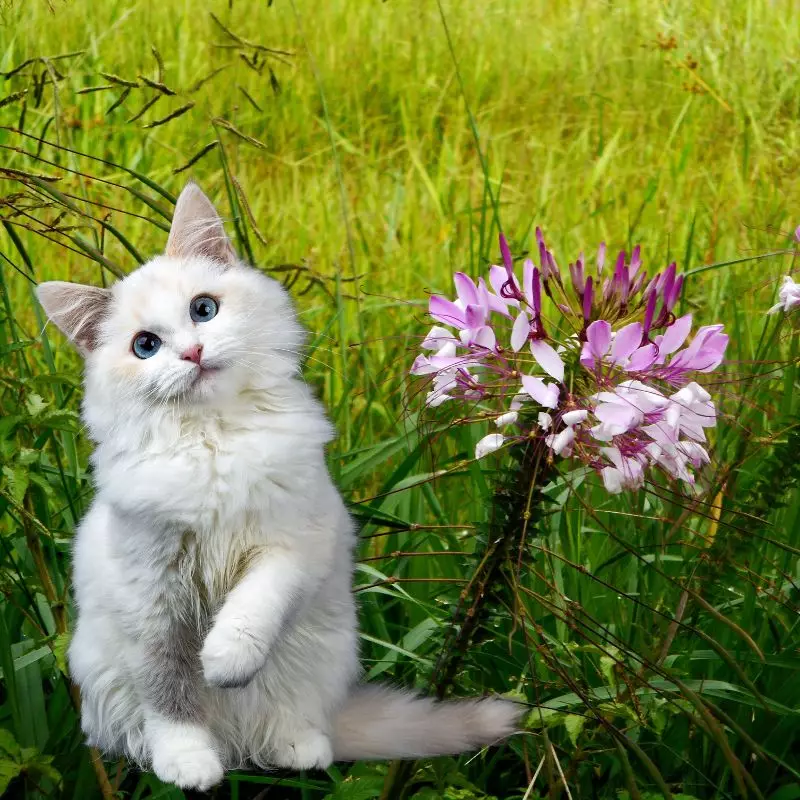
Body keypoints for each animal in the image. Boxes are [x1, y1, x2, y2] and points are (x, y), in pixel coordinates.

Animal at [37, 184, 520, 792]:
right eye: (145, 346)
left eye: (203, 309)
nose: (193, 353)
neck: (214, 441)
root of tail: (239, 746)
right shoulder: (152, 600)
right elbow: (171, 696)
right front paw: (188, 764)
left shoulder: (292, 545)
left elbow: (252, 609)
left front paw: (223, 663)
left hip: (320, 653)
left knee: (296, 720)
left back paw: (298, 749)